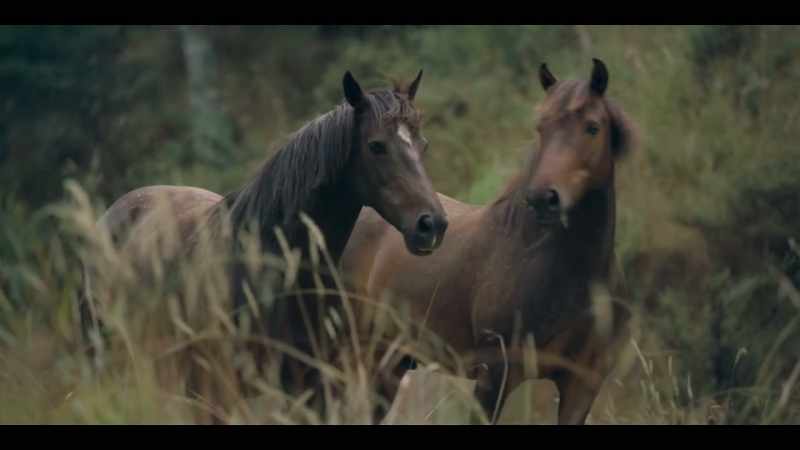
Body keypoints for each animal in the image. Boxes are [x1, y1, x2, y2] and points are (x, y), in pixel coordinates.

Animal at [340, 59, 639, 425]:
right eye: (541, 127)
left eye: (592, 127)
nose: (543, 199)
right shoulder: (494, 375)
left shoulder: (581, 385)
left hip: (391, 362)